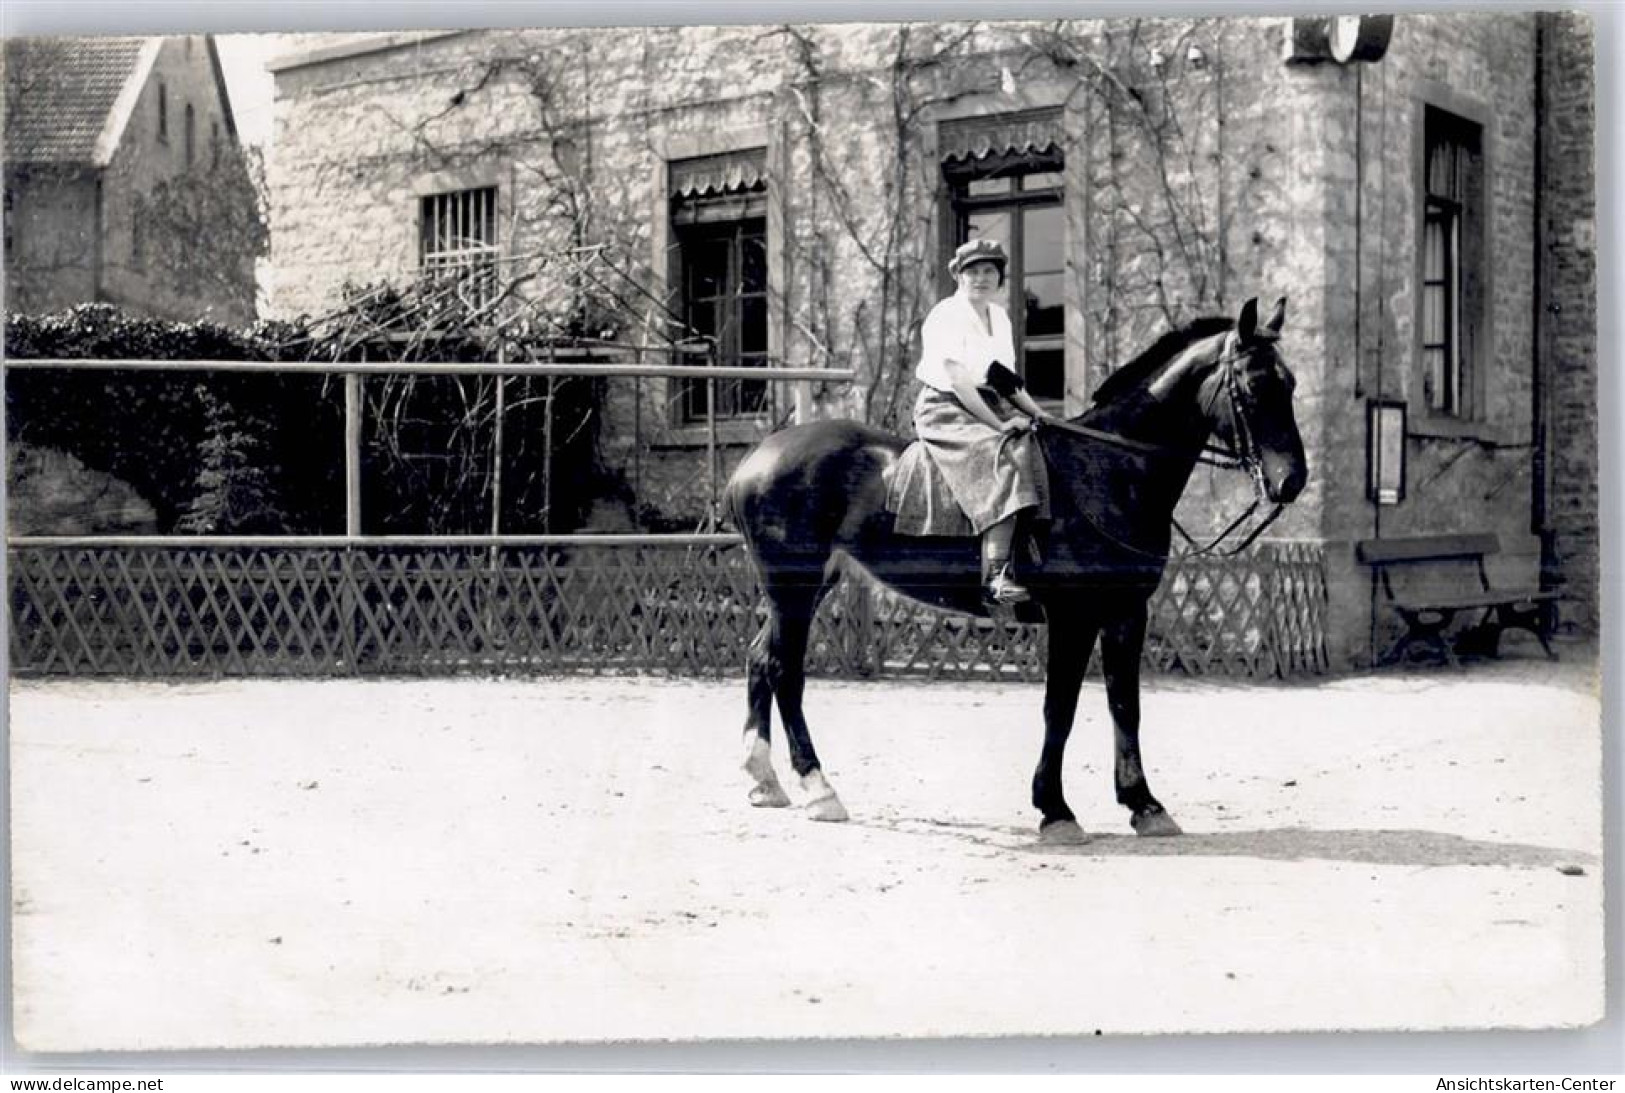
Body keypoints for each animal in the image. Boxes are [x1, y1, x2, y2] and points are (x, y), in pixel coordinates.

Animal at [724, 293, 1306, 838]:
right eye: (1254, 387)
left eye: (1291, 384)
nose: (1292, 481)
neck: (1108, 469)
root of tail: (756, 457)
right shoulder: (1073, 620)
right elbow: (1060, 709)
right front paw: (1056, 810)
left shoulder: (1126, 614)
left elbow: (1125, 705)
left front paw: (1144, 804)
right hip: (793, 589)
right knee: (785, 671)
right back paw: (818, 788)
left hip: (806, 589)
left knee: (760, 659)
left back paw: (763, 778)